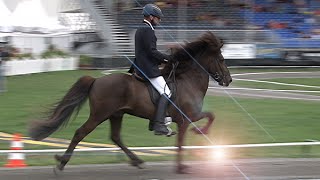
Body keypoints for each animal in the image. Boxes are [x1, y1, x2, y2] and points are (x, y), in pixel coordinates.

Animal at [28, 31, 231, 174]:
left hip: (116, 114)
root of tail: (96, 80)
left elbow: (209, 117)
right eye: (221, 59)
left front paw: (198, 134)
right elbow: (191, 133)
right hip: (100, 114)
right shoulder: (186, 118)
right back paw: (61, 163)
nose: (228, 80)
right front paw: (183, 163)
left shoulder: (187, 118)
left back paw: (137, 161)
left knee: (116, 137)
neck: (188, 80)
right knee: (80, 133)